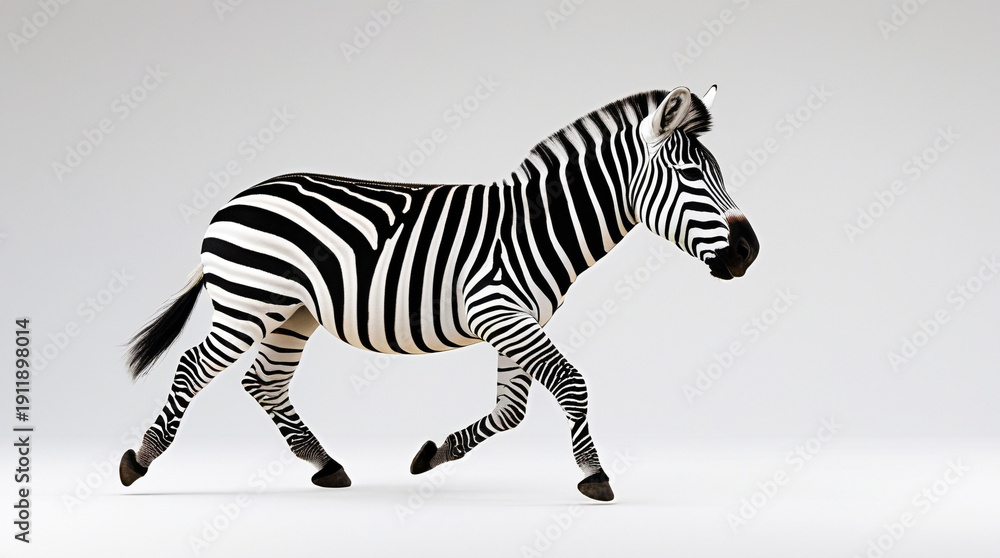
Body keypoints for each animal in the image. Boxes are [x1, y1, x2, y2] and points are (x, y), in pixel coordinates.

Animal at [119, 85, 758, 501]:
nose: (750, 252)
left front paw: (433, 454)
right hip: (248, 302)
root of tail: (237, 198)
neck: (538, 225)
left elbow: (510, 412)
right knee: (191, 369)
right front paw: (594, 476)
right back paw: (139, 461)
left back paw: (325, 465)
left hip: (293, 313)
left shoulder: (516, 321)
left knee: (263, 382)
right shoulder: (497, 310)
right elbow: (570, 384)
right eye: (692, 177)